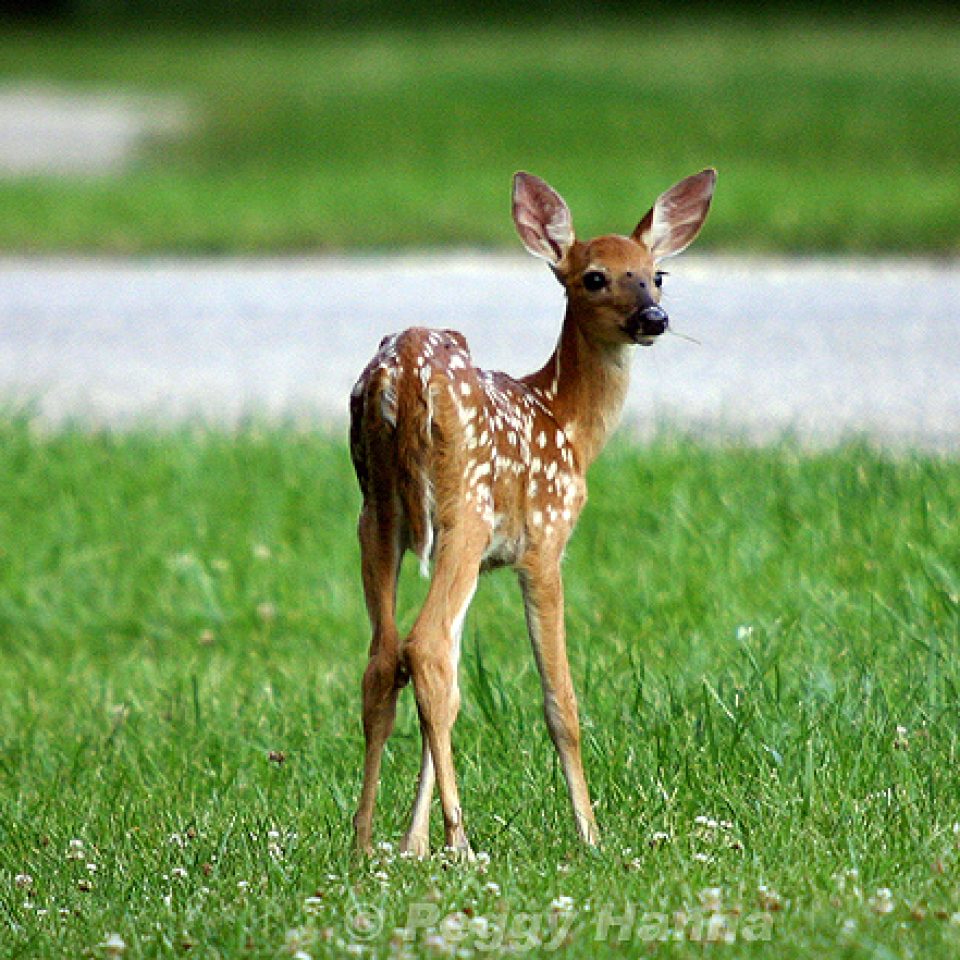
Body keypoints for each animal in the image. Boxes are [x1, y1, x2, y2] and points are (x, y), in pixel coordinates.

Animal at [349, 168, 716, 857]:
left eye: (658, 273)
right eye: (595, 276)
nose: (654, 318)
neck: (566, 423)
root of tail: (402, 374)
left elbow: (449, 687)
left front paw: (413, 844)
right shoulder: (545, 543)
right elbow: (559, 699)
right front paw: (590, 832)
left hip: (376, 511)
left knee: (388, 657)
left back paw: (362, 843)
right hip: (463, 507)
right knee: (426, 648)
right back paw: (464, 846)